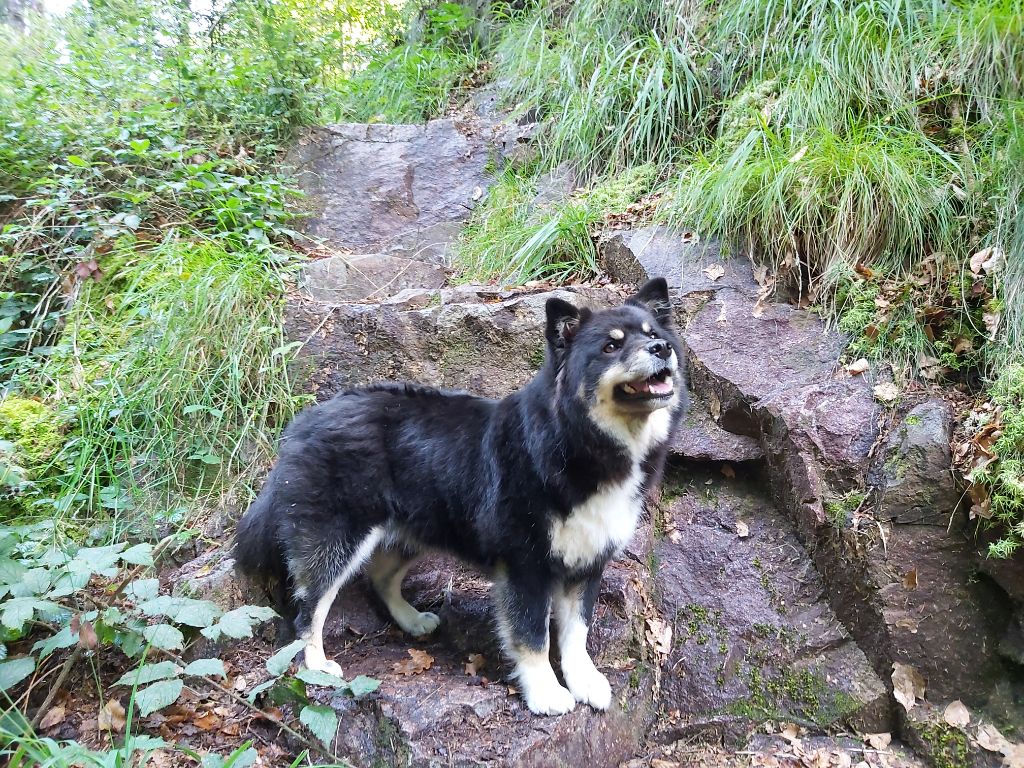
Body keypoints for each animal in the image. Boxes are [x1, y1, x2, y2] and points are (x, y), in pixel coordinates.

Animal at [234, 280, 688, 720]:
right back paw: (315, 663)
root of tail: (303, 422)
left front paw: (585, 682)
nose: (661, 350)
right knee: (309, 607)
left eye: (654, 335)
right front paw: (545, 692)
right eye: (611, 346)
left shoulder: (588, 561)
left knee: (380, 578)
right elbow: (533, 636)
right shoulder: (526, 565)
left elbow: (576, 633)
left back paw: (411, 620)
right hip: (337, 539)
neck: (576, 442)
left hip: (415, 528)